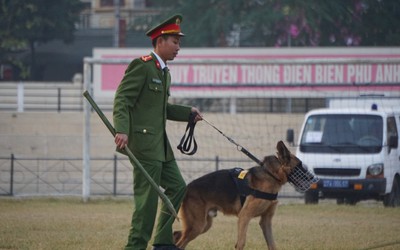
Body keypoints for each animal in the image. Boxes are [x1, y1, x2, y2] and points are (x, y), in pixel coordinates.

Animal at [173, 142, 308, 249]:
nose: (312, 178)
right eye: (300, 165)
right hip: (197, 226)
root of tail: (187, 187)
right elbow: (241, 243)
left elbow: (272, 245)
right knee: (179, 243)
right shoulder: (244, 216)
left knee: (177, 235)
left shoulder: (266, 221)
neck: (271, 174)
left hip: (203, 225)